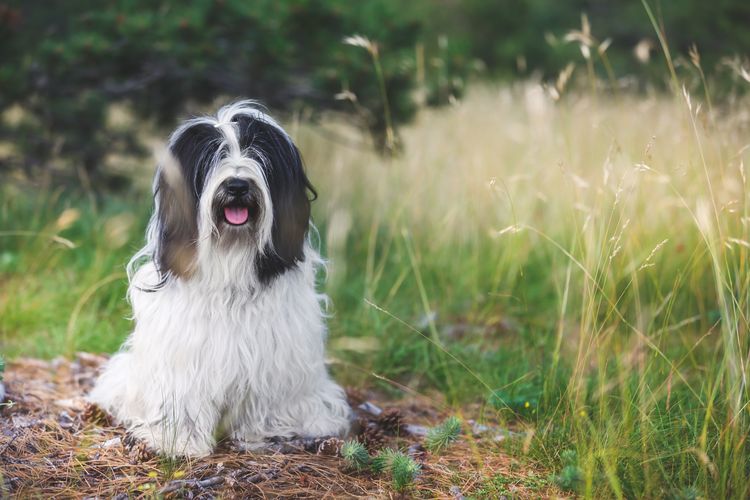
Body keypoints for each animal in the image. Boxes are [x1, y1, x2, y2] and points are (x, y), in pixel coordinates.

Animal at [89, 100, 354, 458]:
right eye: (213, 156)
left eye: (258, 153)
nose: (237, 186)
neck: (231, 260)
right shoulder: (184, 354)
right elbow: (183, 397)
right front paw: (177, 440)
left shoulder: (271, 354)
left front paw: (264, 432)